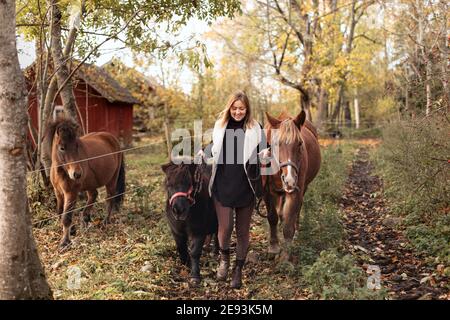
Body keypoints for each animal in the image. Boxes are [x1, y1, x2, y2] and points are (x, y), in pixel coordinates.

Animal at [44, 119, 125, 249]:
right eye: (62, 148)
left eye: (77, 146)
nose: (77, 174)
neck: (62, 171)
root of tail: (112, 138)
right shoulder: (58, 193)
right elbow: (60, 212)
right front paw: (72, 230)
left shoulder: (71, 193)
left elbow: (66, 217)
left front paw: (65, 242)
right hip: (91, 183)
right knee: (93, 195)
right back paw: (85, 219)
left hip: (112, 180)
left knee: (109, 199)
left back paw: (105, 222)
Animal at [262, 110, 322, 260]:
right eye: (276, 144)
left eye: (300, 143)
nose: (289, 179)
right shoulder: (267, 192)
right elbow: (272, 217)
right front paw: (273, 246)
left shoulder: (295, 191)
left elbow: (288, 224)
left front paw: (285, 256)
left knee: (297, 209)